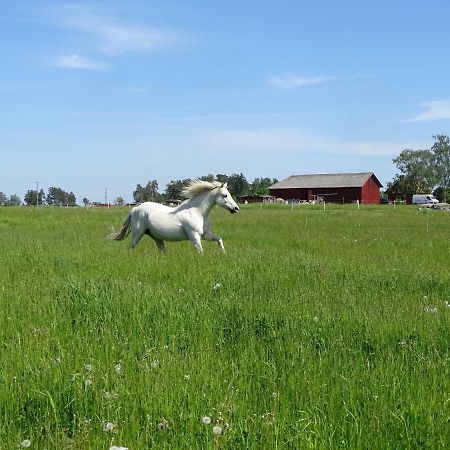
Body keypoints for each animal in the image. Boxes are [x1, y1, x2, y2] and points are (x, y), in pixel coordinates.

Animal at [107, 180, 239, 253]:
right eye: (225, 195)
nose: (236, 208)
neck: (197, 212)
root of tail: (135, 209)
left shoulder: (205, 234)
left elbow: (219, 240)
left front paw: (224, 253)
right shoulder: (194, 235)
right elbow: (200, 251)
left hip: (156, 237)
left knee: (161, 250)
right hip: (137, 234)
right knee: (130, 247)